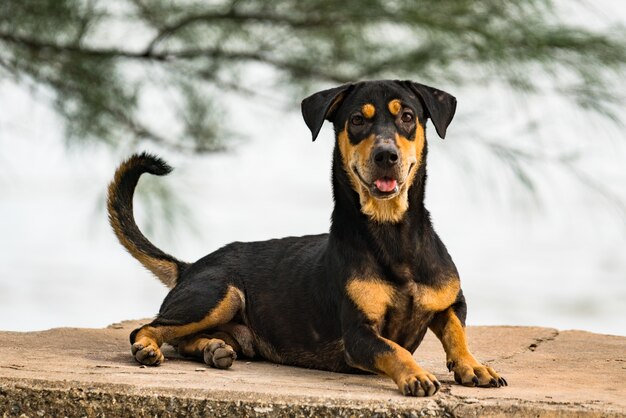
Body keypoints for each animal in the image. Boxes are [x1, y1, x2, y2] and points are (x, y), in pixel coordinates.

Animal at [107, 80, 504, 396]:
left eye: (407, 116)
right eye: (357, 120)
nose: (386, 155)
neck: (393, 234)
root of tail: (189, 267)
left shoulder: (451, 302)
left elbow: (456, 333)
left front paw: (474, 366)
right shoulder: (358, 334)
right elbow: (395, 349)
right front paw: (417, 376)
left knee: (183, 339)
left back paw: (213, 349)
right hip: (220, 293)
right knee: (148, 329)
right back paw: (150, 349)